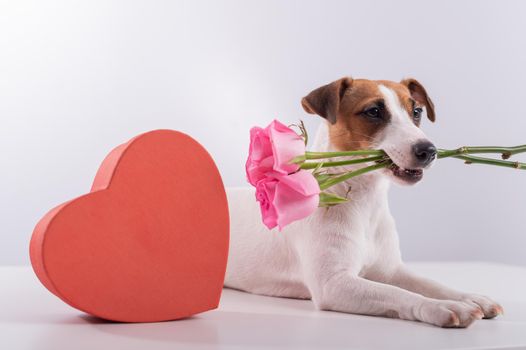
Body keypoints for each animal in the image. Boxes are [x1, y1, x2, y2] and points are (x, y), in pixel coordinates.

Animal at [225, 78, 506, 326]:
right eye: (374, 111)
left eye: (416, 111)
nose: (428, 150)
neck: (365, 201)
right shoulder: (334, 284)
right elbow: (399, 293)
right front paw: (441, 306)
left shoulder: (392, 271)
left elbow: (431, 284)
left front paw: (469, 297)